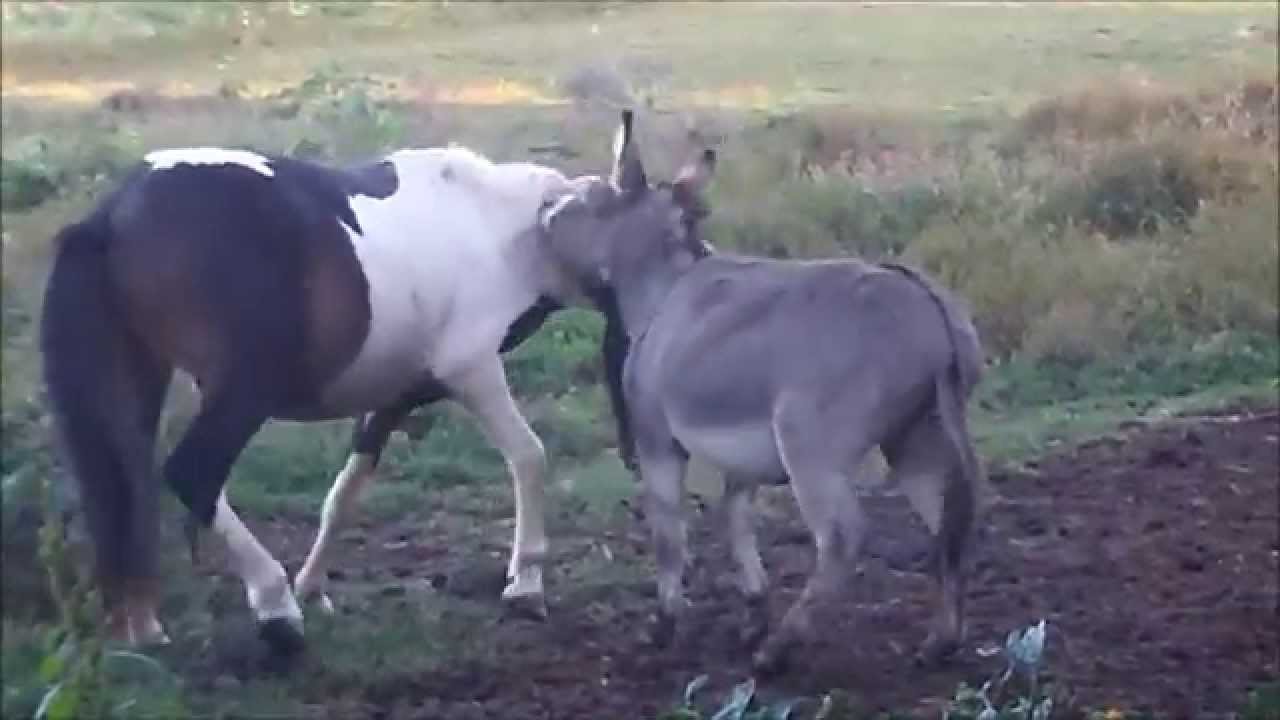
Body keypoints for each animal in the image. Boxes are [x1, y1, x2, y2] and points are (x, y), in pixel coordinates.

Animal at [38, 142, 628, 653]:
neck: (497, 228)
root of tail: (109, 217)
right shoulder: (473, 370)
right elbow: (529, 457)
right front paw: (525, 584)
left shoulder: (394, 398)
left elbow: (344, 494)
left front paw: (314, 585)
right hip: (243, 392)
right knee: (192, 474)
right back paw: (275, 611)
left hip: (138, 384)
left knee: (129, 487)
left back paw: (145, 629)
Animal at [536, 110, 991, 674]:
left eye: (592, 197)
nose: (544, 213)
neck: (663, 293)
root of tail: (926, 304)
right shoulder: (743, 464)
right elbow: (736, 525)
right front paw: (752, 613)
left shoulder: (657, 443)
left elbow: (669, 537)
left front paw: (667, 625)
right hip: (914, 437)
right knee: (946, 524)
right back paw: (939, 643)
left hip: (810, 447)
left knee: (842, 538)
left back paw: (778, 651)